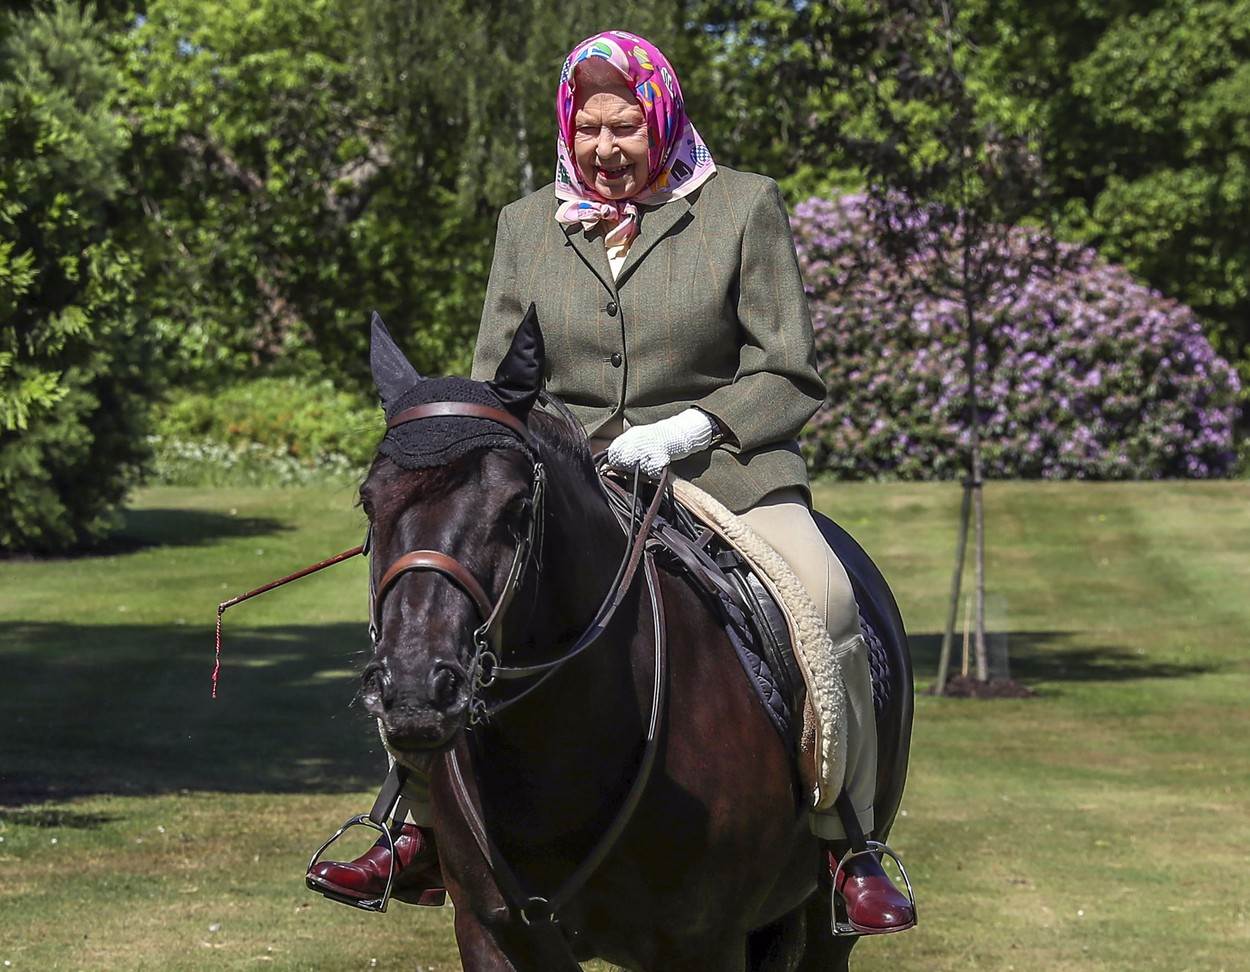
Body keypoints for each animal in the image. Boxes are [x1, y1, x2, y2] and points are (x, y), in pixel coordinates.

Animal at [357, 312, 915, 969]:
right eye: (368, 501)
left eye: (516, 506)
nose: (416, 689)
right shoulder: (491, 933)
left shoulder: (703, 946)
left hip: (828, 918)